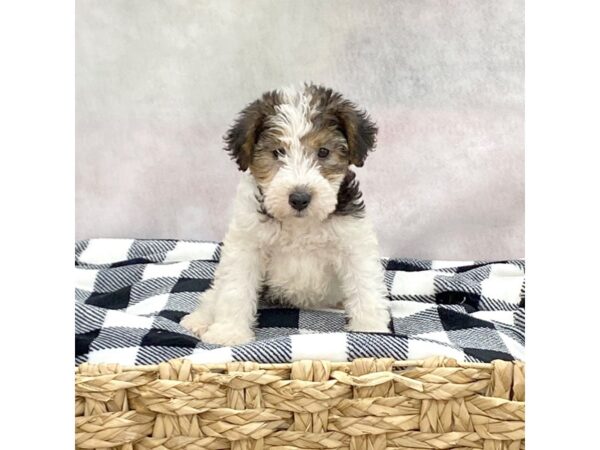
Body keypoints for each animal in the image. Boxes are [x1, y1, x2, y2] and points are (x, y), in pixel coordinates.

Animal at [180, 84, 392, 344]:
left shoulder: (353, 243)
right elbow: (235, 290)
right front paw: (228, 333)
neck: (300, 226)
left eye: (323, 152)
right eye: (277, 152)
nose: (299, 198)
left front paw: (370, 329)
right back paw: (199, 320)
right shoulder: (246, 247)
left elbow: (365, 288)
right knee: (215, 292)